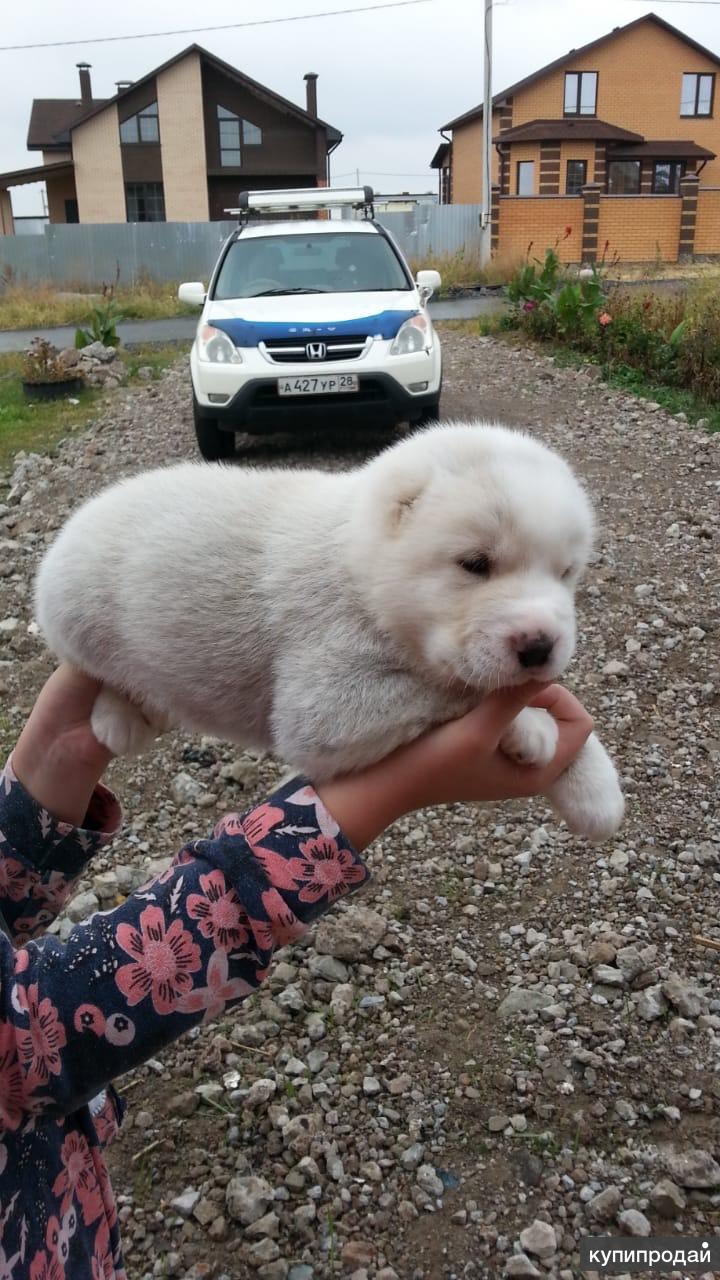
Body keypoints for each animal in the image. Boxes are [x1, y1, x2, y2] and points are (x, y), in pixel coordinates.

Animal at [35, 419, 622, 839]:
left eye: (566, 572)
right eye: (475, 564)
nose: (540, 645)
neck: (356, 564)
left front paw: (595, 788)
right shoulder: (325, 702)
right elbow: (450, 691)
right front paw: (532, 727)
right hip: (75, 611)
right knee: (97, 668)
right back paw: (119, 716)